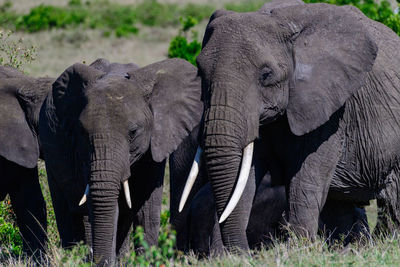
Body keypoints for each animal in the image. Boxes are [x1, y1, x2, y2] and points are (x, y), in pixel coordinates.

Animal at [39, 58, 203, 266]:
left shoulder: (155, 143)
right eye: (82, 132)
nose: (101, 261)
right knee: (66, 211)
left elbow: (146, 206)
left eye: (133, 132)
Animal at [179, 0, 400, 253]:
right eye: (200, 72)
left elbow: (306, 180)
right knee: (340, 206)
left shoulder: (332, 110)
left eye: (266, 75)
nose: (245, 252)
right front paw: (231, 256)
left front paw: (299, 251)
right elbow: (245, 179)